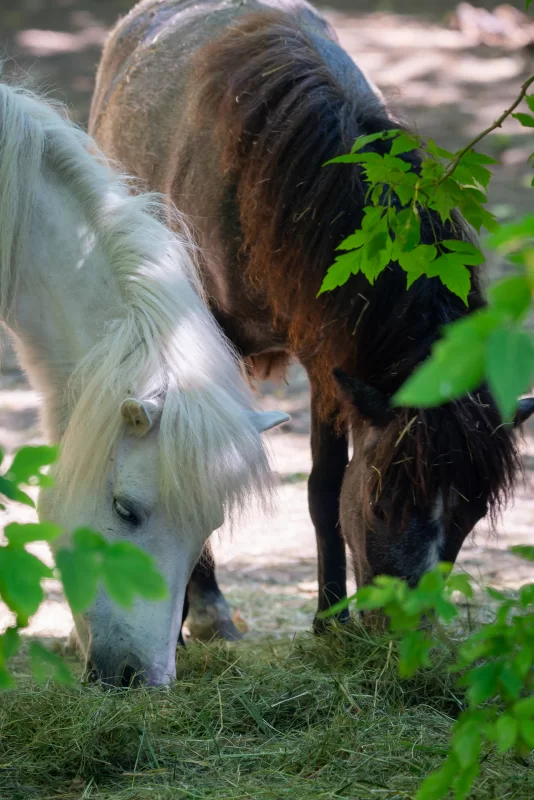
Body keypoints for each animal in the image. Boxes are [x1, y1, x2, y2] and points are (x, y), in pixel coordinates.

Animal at [89, 0, 534, 637]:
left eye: (468, 518)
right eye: (381, 504)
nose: (406, 631)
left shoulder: (330, 361)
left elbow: (324, 489)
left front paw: (329, 620)